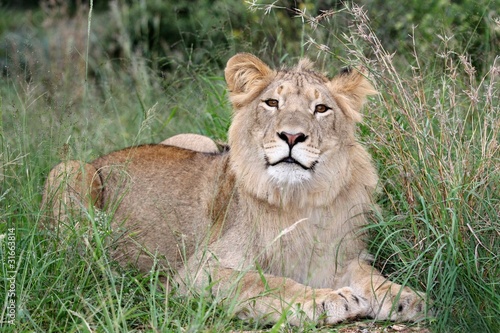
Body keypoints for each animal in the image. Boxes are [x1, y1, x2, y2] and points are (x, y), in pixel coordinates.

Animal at [41, 53, 428, 324]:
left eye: (321, 108)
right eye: (272, 103)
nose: (291, 136)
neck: (299, 200)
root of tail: (107, 155)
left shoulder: (339, 255)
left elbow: (369, 275)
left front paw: (403, 297)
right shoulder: (197, 272)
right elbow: (264, 282)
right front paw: (325, 299)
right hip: (68, 171)